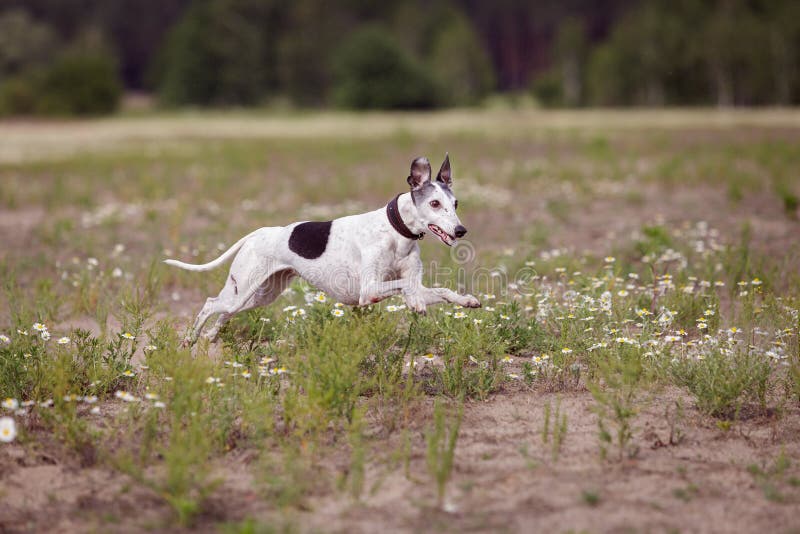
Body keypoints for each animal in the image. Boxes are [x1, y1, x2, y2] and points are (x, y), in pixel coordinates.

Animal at [165, 155, 478, 348]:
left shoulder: (410, 282)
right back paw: (190, 339)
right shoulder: (368, 291)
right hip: (242, 290)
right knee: (209, 304)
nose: (461, 230)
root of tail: (258, 233)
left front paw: (465, 300)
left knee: (223, 313)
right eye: (435, 203)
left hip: (259, 296)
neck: (396, 232)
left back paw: (209, 337)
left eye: (455, 203)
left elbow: (437, 290)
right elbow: (405, 287)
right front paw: (414, 303)